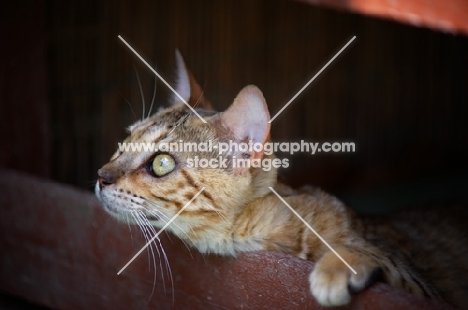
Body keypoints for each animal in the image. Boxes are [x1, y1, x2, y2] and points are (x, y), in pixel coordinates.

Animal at [95, 51, 468, 308]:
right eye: (125, 141)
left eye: (161, 163)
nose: (100, 177)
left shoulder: (422, 285)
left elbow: (374, 255)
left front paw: (339, 265)